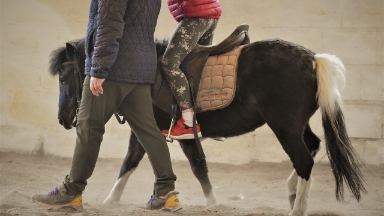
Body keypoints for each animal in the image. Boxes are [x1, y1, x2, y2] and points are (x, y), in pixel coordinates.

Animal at [48, 36, 366, 215]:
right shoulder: (154, 129)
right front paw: (110, 202)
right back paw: (291, 193)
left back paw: (297, 209)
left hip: (284, 126)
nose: (62, 119)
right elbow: (134, 162)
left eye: (63, 78)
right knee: (312, 147)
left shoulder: (173, 131)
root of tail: (313, 60)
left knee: (303, 160)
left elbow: (193, 166)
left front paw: (212, 202)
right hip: (295, 125)